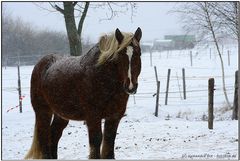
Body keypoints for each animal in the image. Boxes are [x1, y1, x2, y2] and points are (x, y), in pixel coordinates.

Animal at [25, 27, 142, 158]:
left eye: (139, 53)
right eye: (120, 55)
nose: (130, 86)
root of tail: (40, 64)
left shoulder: (114, 117)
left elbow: (109, 146)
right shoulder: (93, 117)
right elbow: (96, 142)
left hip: (61, 114)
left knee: (54, 135)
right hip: (43, 112)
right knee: (44, 137)